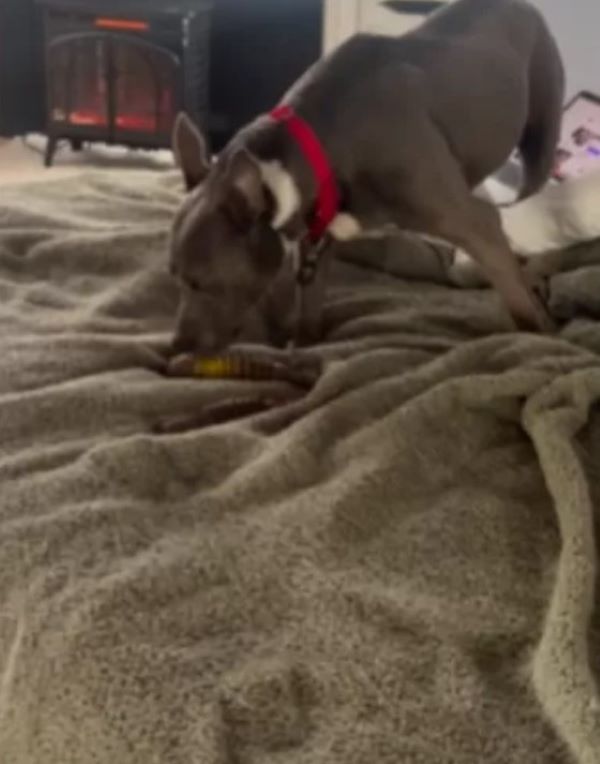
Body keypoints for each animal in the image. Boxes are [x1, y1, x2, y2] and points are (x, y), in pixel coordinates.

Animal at [168, 0, 564, 352]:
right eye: (173, 278)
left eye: (201, 283)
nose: (176, 349)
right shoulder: (315, 240)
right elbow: (309, 305)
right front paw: (304, 347)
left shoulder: (472, 222)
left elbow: (516, 295)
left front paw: (543, 335)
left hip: (540, 142)